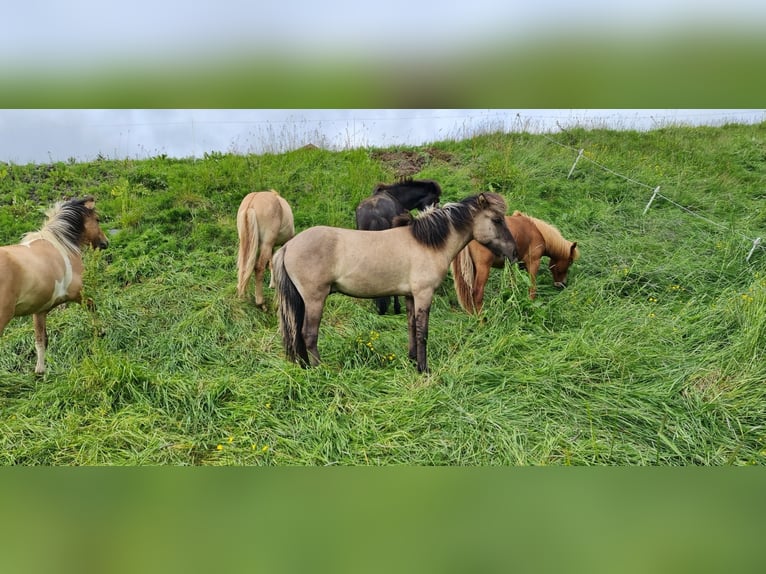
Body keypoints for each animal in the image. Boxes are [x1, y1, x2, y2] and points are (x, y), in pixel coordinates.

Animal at [0, 197, 109, 378]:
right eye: (97, 219)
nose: (105, 243)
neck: (61, 244)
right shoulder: (78, 293)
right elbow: (92, 306)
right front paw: (100, 331)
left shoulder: (39, 311)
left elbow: (41, 340)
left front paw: (40, 371)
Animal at [452, 212, 580, 316]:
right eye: (570, 261)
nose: (562, 284)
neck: (537, 231)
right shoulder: (533, 263)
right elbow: (532, 286)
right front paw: (531, 303)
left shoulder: (512, 264)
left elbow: (513, 283)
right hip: (483, 268)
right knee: (477, 294)